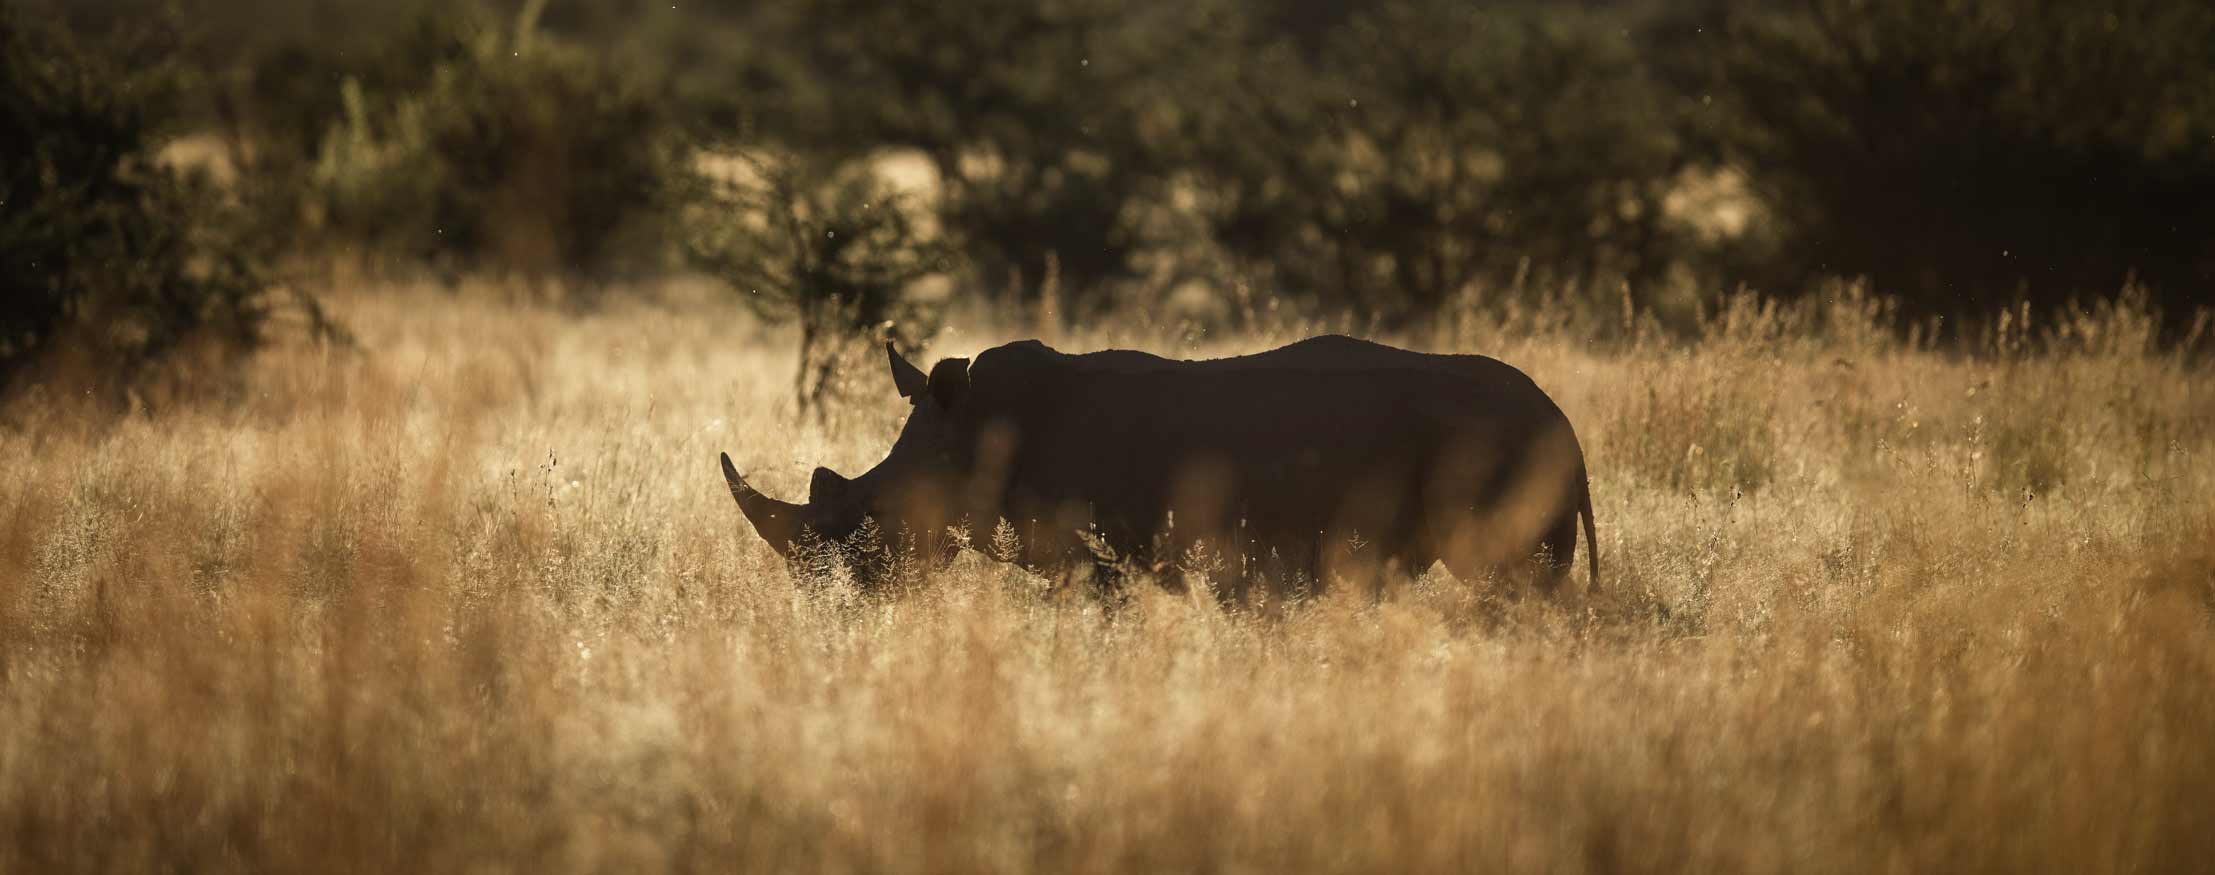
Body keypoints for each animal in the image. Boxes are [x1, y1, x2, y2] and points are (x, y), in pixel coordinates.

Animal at [720, 335, 1597, 594]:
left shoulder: (1097, 555)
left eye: (873, 520)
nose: (826, 592)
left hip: (1511, 454)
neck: (970, 430)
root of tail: (1568, 427)